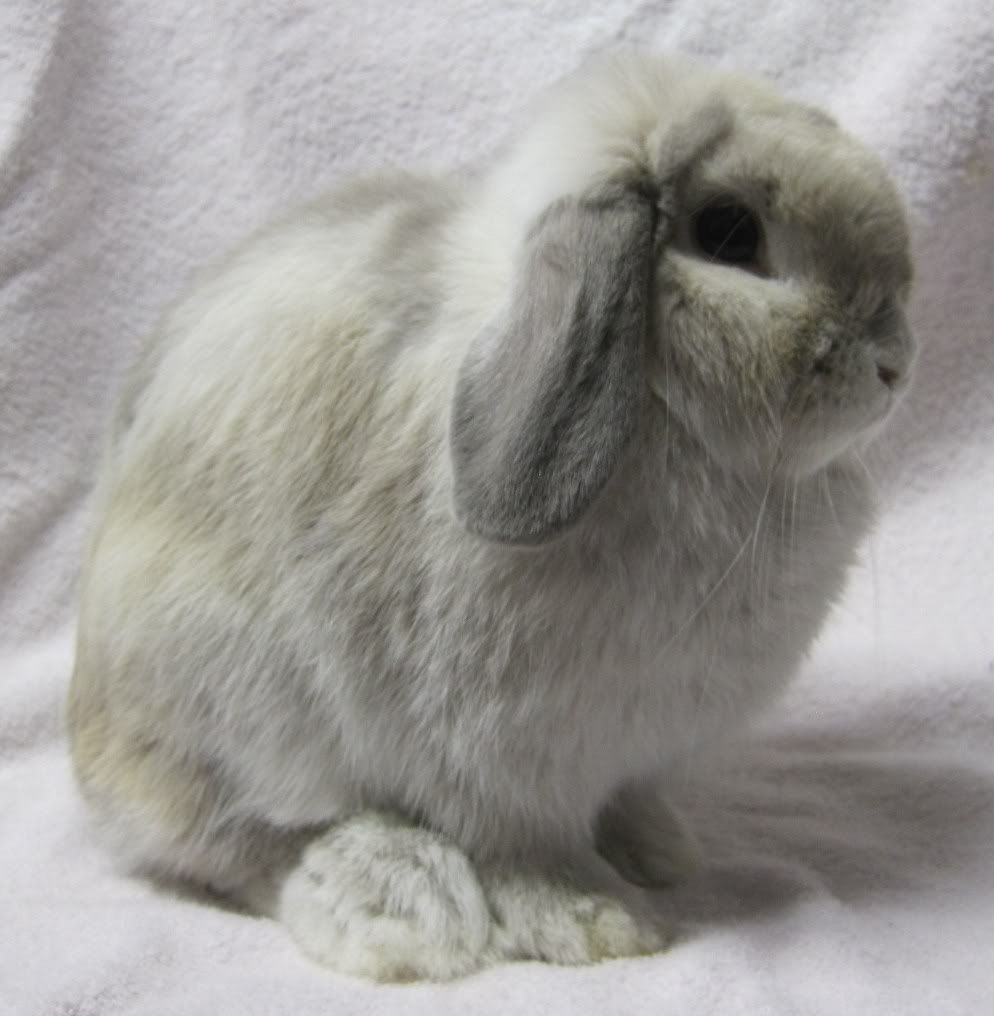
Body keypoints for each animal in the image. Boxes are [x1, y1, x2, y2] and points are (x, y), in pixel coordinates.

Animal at [67, 51, 915, 982]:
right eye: (729, 233)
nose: (894, 363)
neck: (658, 412)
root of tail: (91, 760)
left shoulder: (624, 754)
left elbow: (630, 798)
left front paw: (658, 851)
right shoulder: (503, 761)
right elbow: (522, 851)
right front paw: (594, 922)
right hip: (230, 691)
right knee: (243, 839)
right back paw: (396, 904)